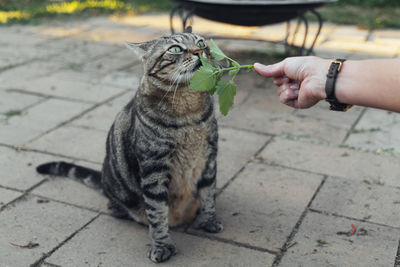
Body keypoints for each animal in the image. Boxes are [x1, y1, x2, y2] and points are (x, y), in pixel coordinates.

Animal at [36, 27, 223, 264]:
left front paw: (209, 221)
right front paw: (162, 245)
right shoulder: (154, 169)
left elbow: (208, 194)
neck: (188, 111)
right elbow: (157, 212)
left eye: (200, 42)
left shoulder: (209, 157)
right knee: (121, 208)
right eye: (175, 49)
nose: (200, 51)